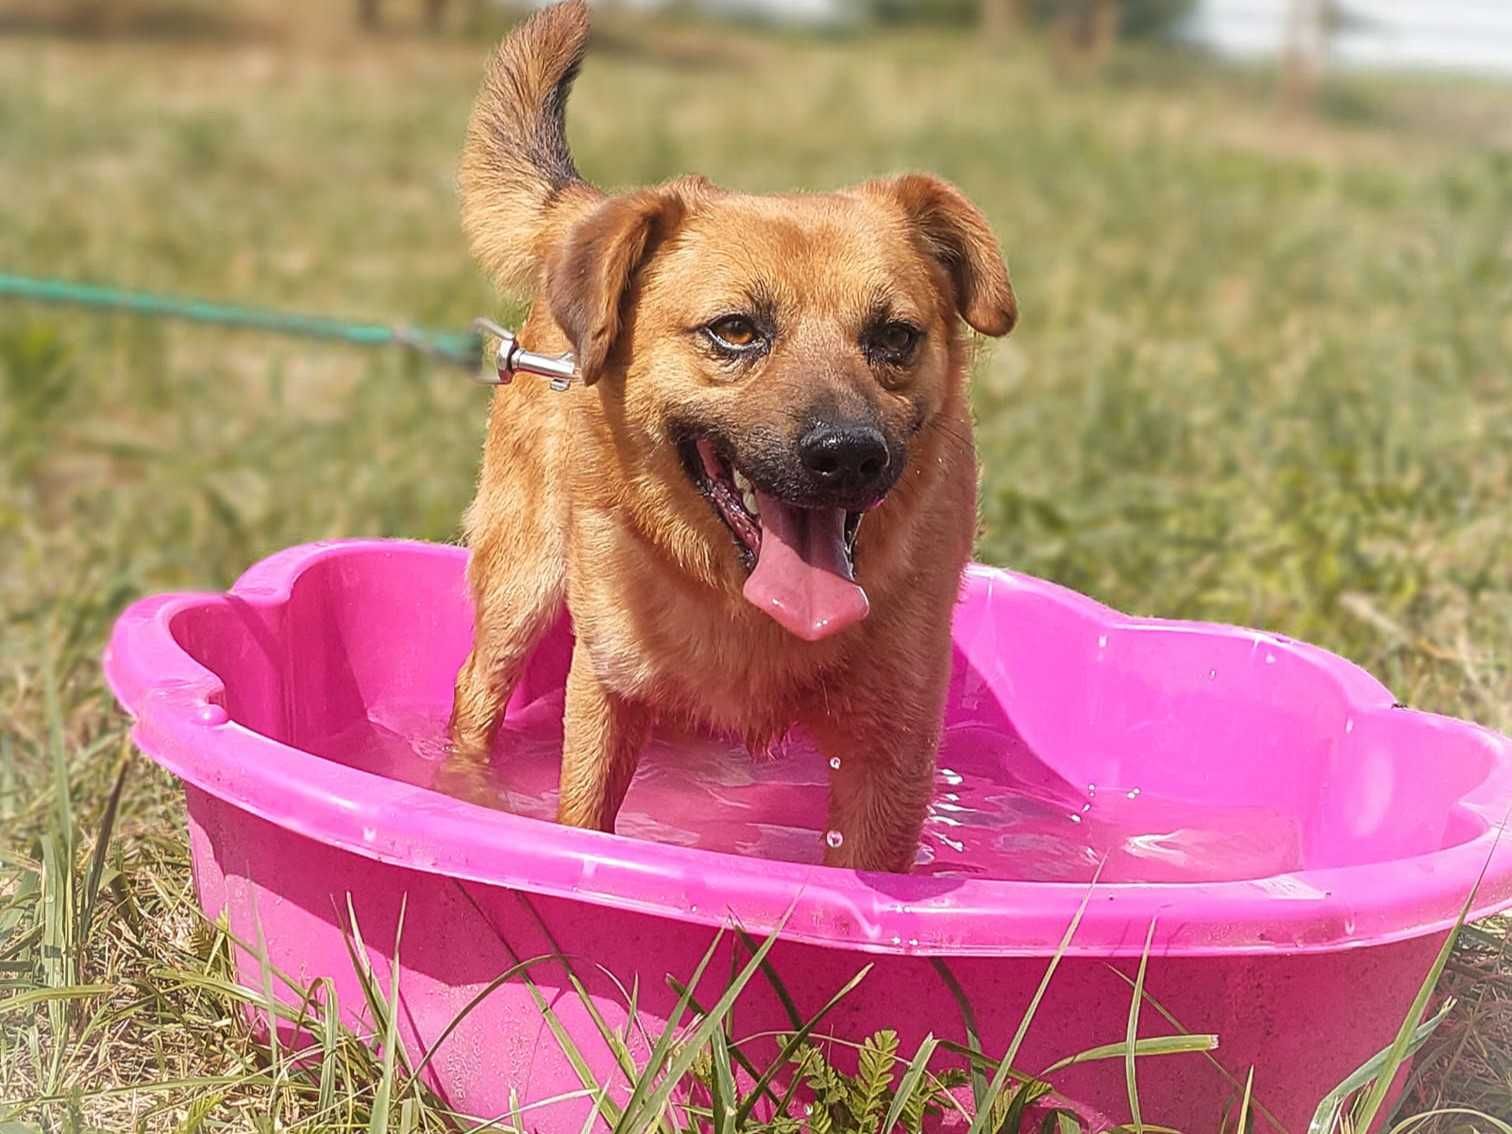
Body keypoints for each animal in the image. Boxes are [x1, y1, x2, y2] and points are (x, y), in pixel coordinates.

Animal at [447, 0, 1016, 876]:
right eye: (736, 330)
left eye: (894, 337)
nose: (849, 455)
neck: (739, 600)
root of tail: (593, 204)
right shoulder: (607, 690)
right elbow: (583, 820)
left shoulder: (893, 745)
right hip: (522, 584)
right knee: (476, 693)